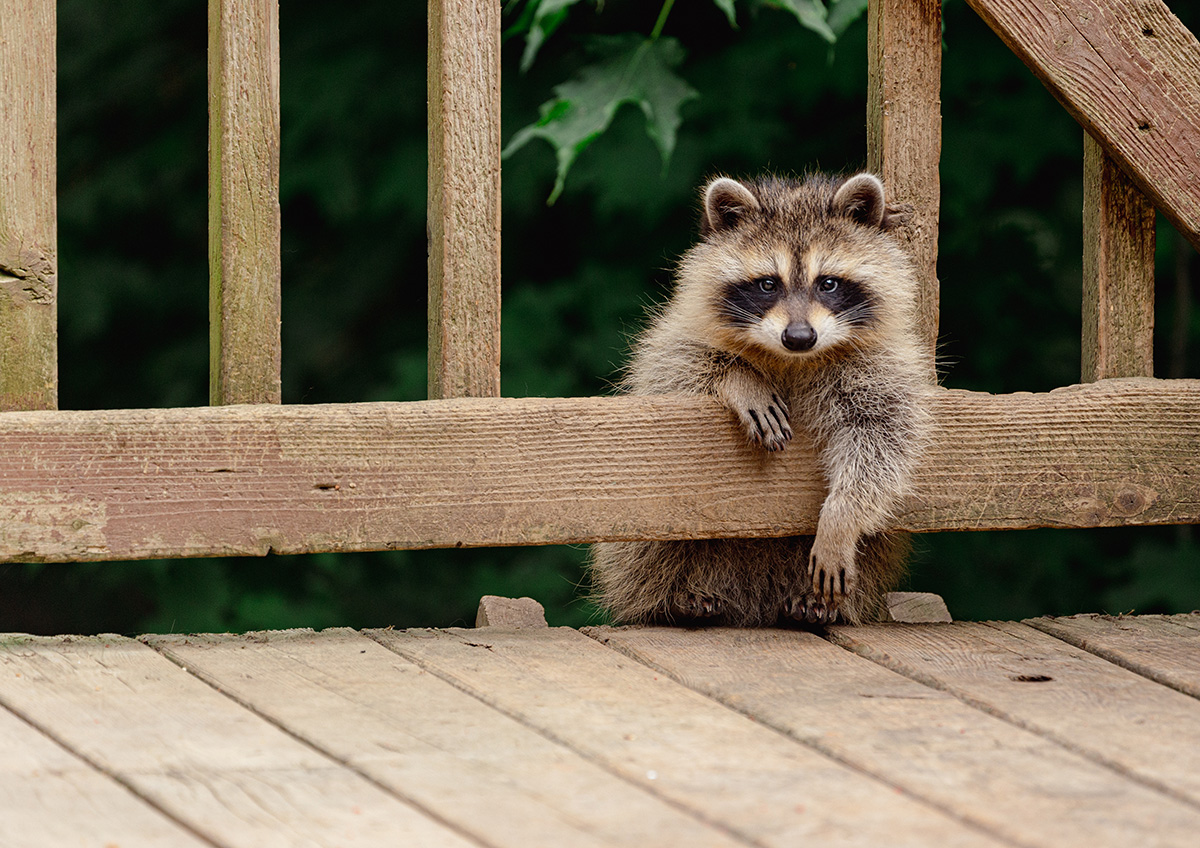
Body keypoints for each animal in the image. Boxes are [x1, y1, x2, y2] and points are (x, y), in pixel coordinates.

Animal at [590, 172, 931, 626]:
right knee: (644, 549)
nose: (799, 337)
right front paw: (739, 378)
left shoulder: (879, 365)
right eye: (769, 284)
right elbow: (674, 372)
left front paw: (841, 516)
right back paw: (671, 599)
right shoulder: (673, 342)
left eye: (828, 283)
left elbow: (883, 437)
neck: (793, 360)